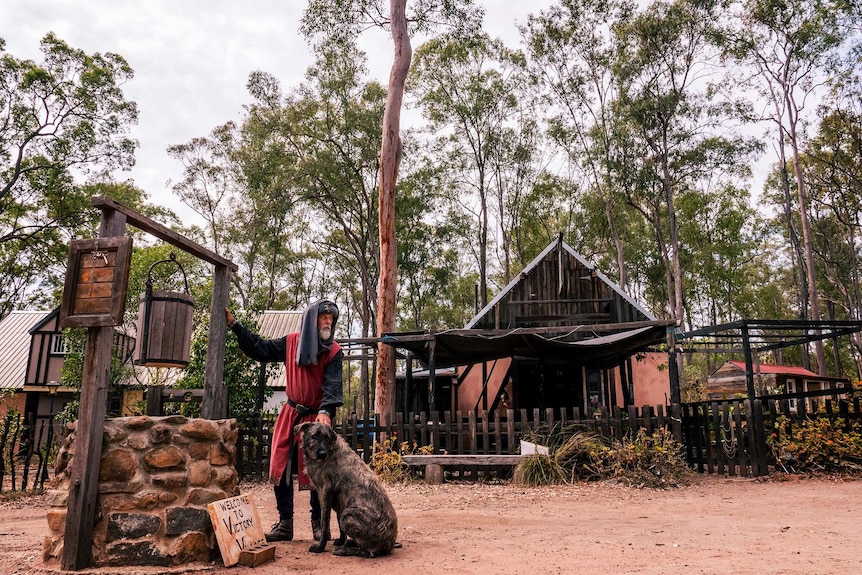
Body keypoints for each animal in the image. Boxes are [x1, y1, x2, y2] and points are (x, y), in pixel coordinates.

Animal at [296, 424, 400, 560]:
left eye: (326, 437)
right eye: (314, 436)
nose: (322, 454)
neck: (330, 450)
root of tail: (389, 544)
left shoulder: (325, 492)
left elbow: (325, 523)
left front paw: (320, 547)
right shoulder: (338, 502)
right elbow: (338, 526)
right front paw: (341, 540)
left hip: (347, 515)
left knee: (368, 552)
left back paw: (344, 550)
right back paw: (350, 543)